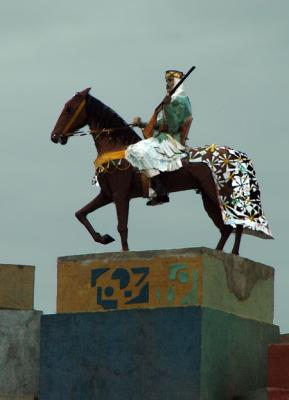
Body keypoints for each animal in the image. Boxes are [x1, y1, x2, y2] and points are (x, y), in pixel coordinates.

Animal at [50, 89, 268, 255]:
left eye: (69, 109)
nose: (54, 136)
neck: (115, 146)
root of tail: (237, 155)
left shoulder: (120, 194)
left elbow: (122, 225)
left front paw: (125, 253)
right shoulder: (107, 195)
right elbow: (81, 214)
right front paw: (103, 238)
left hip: (218, 194)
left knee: (236, 223)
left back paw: (233, 254)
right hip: (209, 197)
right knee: (226, 227)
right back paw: (221, 252)